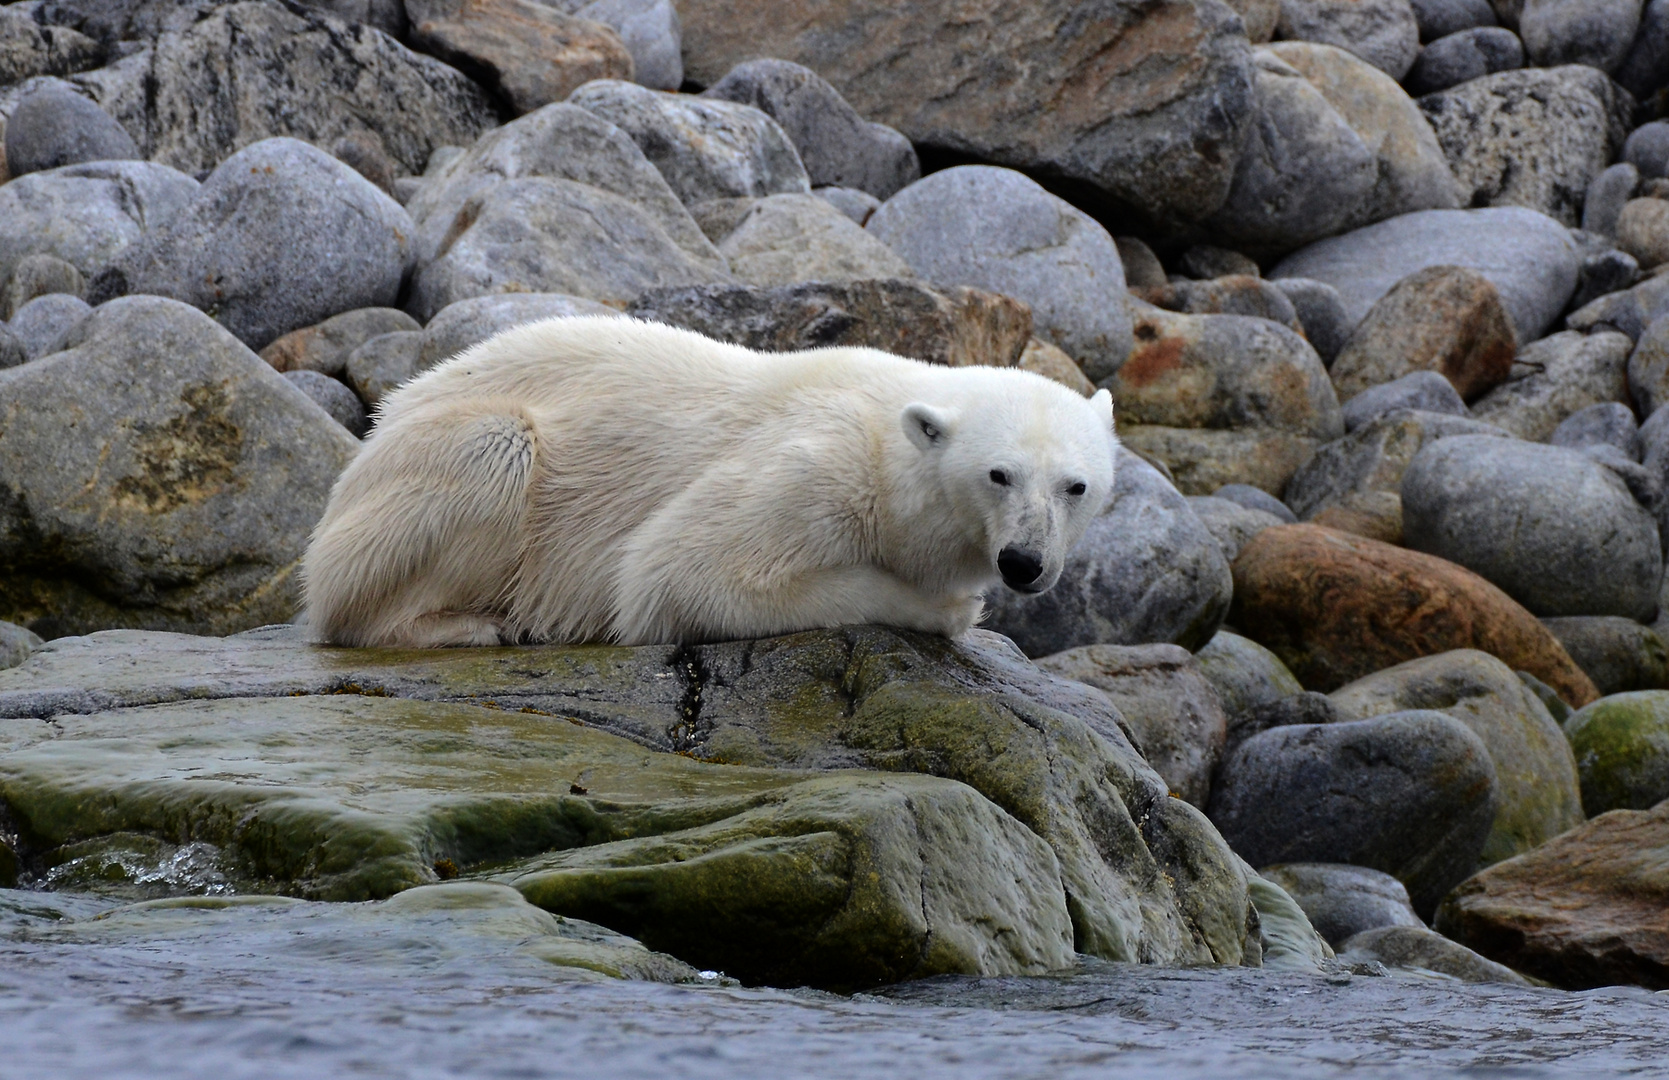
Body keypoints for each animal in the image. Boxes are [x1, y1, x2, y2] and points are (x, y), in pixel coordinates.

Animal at [305, 317, 1121, 647]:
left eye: (1076, 486)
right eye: (998, 474)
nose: (1024, 562)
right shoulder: (820, 467)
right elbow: (681, 571)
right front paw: (948, 609)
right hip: (432, 464)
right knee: (496, 452)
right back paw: (471, 624)